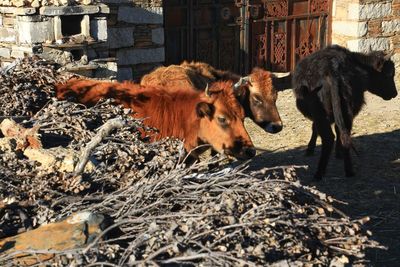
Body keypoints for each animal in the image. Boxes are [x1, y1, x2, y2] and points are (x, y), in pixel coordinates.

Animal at [292, 45, 398, 180]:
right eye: (388, 74)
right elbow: (337, 129)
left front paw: (310, 148)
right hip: (348, 110)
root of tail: (333, 69)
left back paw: (319, 173)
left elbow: (315, 127)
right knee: (345, 135)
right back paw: (349, 170)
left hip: (321, 113)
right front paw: (338, 153)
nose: (395, 93)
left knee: (329, 138)